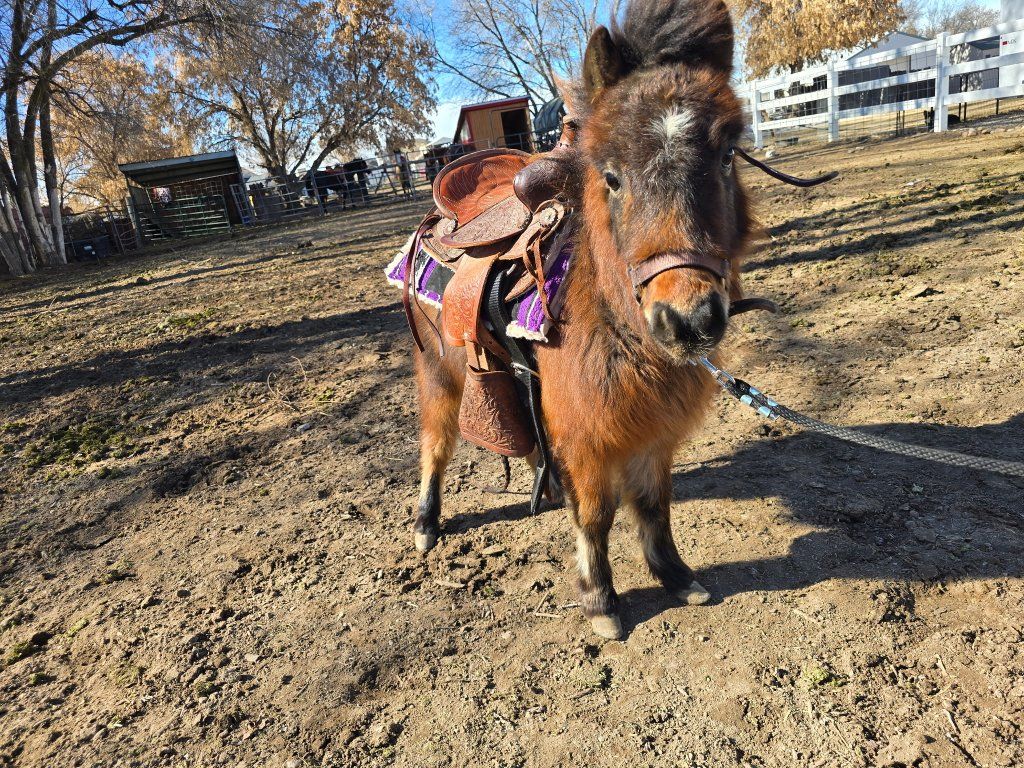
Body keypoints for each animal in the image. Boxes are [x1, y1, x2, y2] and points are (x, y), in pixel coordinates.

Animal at [407, 0, 754, 639]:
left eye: (725, 155)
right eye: (611, 176)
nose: (688, 321)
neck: (615, 325)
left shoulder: (652, 429)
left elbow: (653, 504)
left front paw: (675, 575)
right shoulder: (587, 432)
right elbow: (595, 514)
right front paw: (601, 599)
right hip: (439, 372)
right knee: (435, 444)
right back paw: (426, 523)